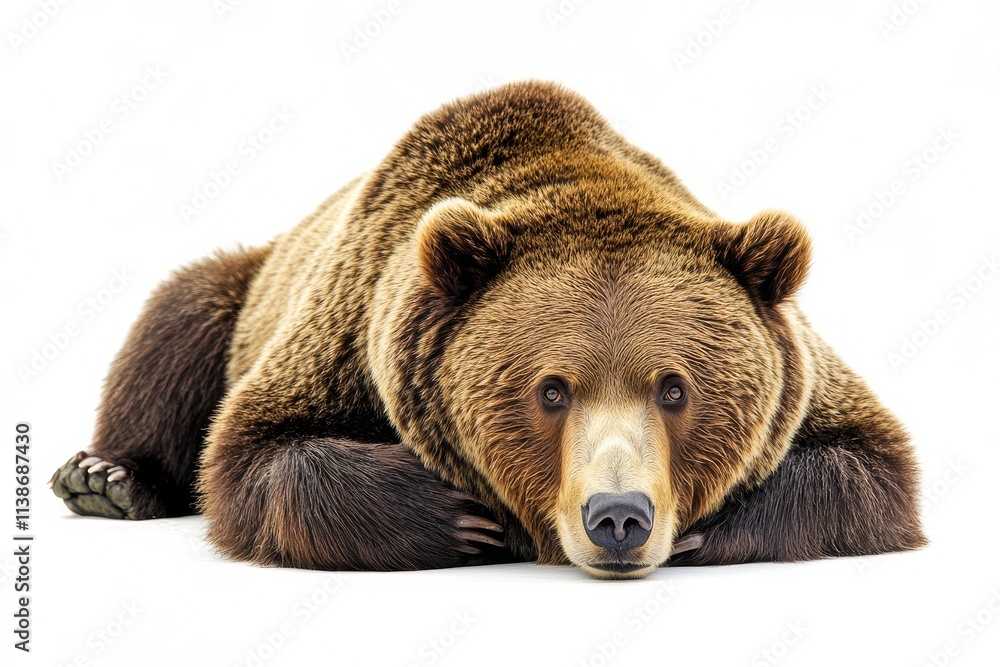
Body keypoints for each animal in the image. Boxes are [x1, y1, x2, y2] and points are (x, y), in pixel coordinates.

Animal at [50, 81, 926, 579]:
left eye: (675, 387)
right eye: (552, 390)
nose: (618, 516)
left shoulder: (806, 371)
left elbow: (870, 464)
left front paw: (705, 525)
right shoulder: (349, 324)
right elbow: (253, 455)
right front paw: (458, 516)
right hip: (247, 290)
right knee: (178, 319)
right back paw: (104, 477)